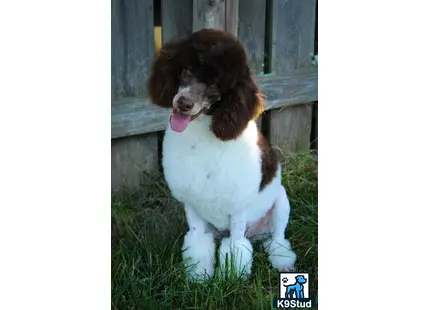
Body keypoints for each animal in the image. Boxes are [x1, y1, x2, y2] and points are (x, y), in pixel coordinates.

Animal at [148, 29, 296, 280]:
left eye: (215, 84)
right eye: (187, 70)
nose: (183, 102)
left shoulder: (238, 207)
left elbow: (236, 246)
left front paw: (233, 277)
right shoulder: (192, 203)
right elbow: (198, 242)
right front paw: (199, 276)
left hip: (280, 202)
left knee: (277, 238)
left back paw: (282, 261)